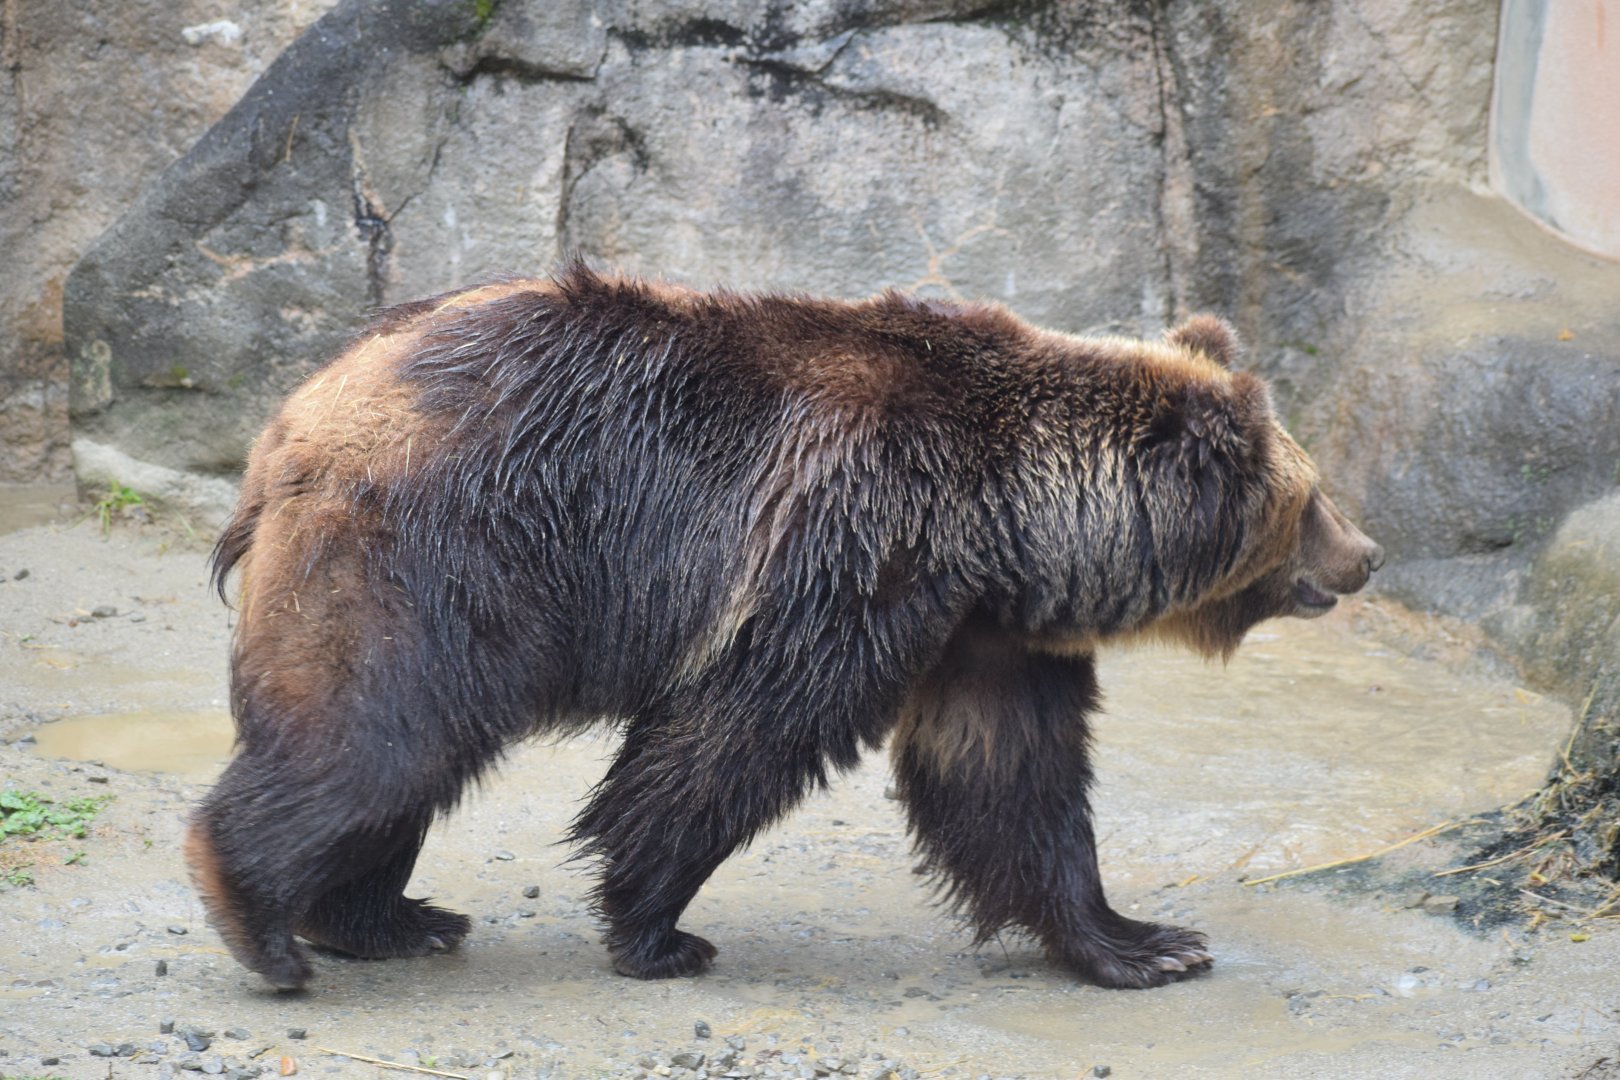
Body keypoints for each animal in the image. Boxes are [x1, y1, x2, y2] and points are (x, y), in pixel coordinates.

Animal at [187, 263, 1382, 992]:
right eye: (1313, 498)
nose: (1366, 555)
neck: (1003, 515)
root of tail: (295, 416)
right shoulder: (848, 546)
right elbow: (741, 733)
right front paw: (658, 929)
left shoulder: (982, 627)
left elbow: (1009, 773)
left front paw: (1145, 943)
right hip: (437, 556)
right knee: (376, 734)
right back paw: (264, 922)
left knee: (401, 760)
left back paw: (386, 918)